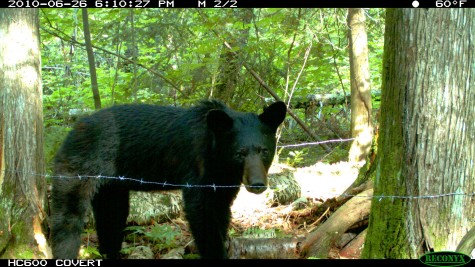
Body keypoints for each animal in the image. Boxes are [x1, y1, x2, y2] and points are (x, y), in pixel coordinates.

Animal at [50, 100, 286, 260]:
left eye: (264, 150)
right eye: (239, 153)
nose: (257, 184)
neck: (217, 157)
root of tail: (73, 129)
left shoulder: (222, 182)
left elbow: (221, 212)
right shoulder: (197, 169)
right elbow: (201, 214)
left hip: (111, 185)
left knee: (112, 216)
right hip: (80, 166)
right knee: (68, 217)